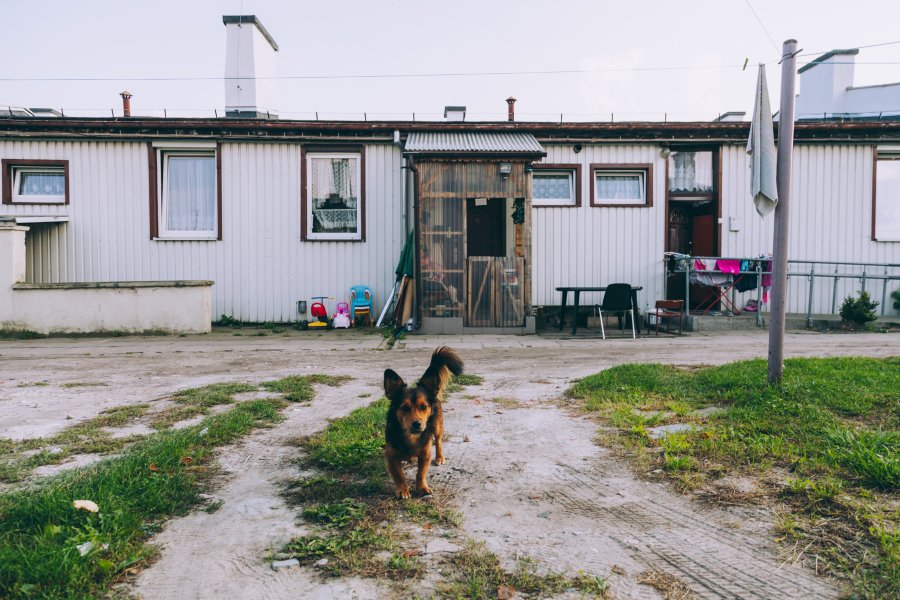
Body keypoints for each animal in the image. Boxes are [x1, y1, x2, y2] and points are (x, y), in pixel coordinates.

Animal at [384, 344, 464, 500]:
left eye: (423, 407)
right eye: (405, 408)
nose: (417, 424)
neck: (411, 437)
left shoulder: (425, 454)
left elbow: (421, 473)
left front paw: (422, 488)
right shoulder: (391, 456)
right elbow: (399, 475)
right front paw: (402, 490)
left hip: (438, 427)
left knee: (438, 442)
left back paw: (439, 457)